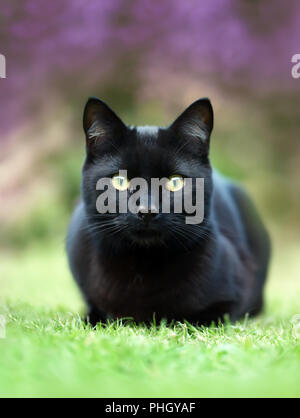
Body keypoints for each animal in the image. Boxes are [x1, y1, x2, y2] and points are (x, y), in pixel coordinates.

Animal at [67, 98, 270, 326]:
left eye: (175, 182)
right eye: (120, 181)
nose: (147, 210)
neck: (143, 265)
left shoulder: (231, 298)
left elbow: (202, 317)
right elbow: (95, 312)